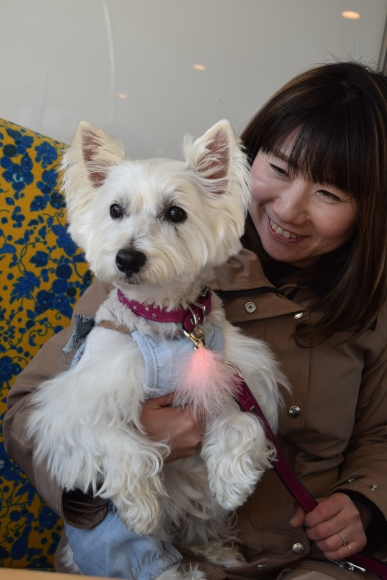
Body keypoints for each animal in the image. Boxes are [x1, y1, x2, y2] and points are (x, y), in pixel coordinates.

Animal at [28, 120, 288, 576]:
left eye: (175, 213)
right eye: (115, 210)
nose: (127, 258)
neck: (169, 327)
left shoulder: (232, 379)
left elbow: (245, 424)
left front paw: (233, 482)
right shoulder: (73, 404)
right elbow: (120, 442)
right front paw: (141, 506)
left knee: (200, 527)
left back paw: (217, 552)